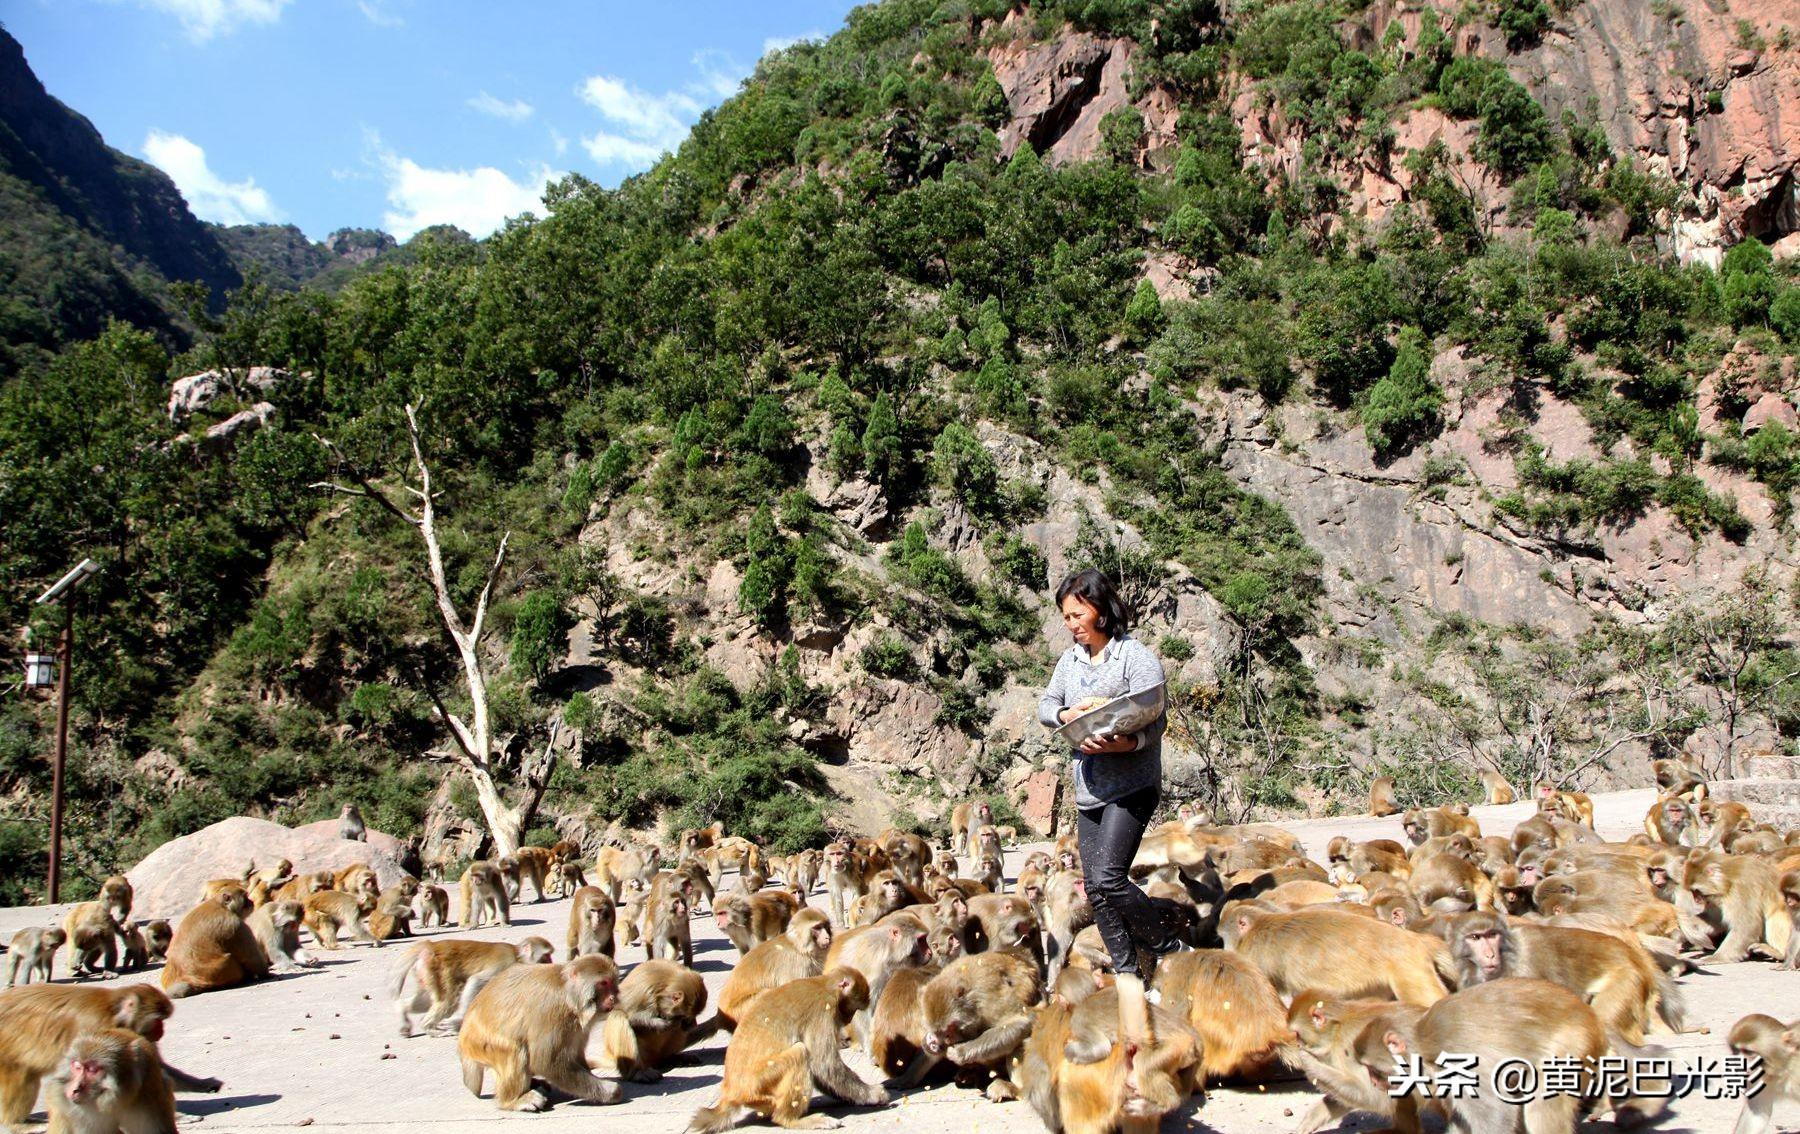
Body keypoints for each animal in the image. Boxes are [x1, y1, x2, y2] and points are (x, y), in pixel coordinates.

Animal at [0, 979, 219, 1123]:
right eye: (158, 1020)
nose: (161, 1031)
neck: (113, 1013)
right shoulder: (93, 1027)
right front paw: (178, 1116)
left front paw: (203, 1084)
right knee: (22, 1073)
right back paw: (17, 1125)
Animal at [394, 936, 554, 1044]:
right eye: (546, 955)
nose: (551, 962)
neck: (517, 956)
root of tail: (431, 946)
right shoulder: (505, 964)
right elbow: (476, 981)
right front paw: (457, 1020)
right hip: (438, 969)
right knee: (449, 1001)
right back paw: (429, 1027)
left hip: (427, 974)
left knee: (428, 1000)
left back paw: (403, 1011)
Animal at [457, 957, 626, 1116]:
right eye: (603, 983)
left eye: (612, 983)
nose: (613, 997)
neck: (569, 995)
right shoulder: (551, 1011)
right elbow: (545, 1062)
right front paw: (610, 1091)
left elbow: (575, 1055)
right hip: (480, 1044)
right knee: (516, 1049)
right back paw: (514, 1101)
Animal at [1216, 903, 1454, 1008]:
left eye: (1223, 937)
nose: (1225, 949)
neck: (1259, 925)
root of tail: (1416, 940)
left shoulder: (1256, 958)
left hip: (1407, 969)